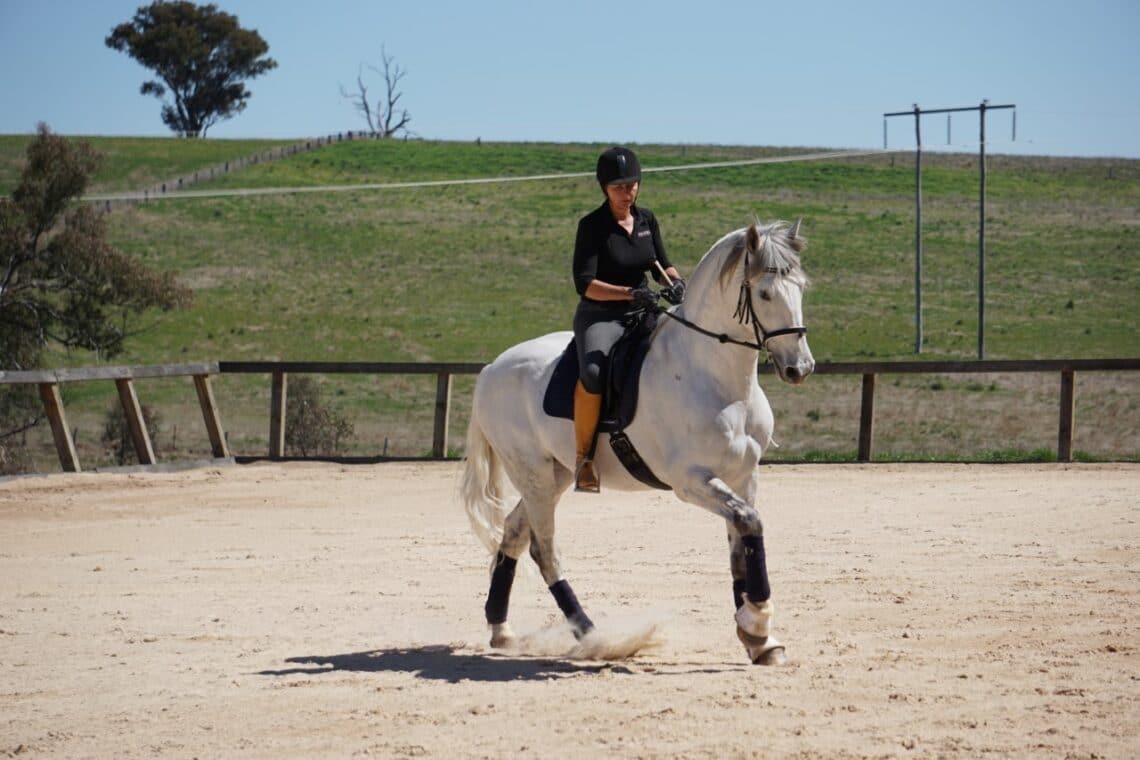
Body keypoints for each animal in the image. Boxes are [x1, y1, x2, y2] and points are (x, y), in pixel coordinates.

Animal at [460, 219, 813, 664]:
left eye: (801, 287)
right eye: (765, 293)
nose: (800, 368)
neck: (714, 376)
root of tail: (492, 367)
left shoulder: (744, 476)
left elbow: (742, 542)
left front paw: (757, 637)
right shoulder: (690, 482)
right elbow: (750, 522)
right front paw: (758, 620)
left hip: (555, 475)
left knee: (513, 534)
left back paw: (501, 629)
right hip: (533, 475)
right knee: (546, 551)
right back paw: (593, 636)